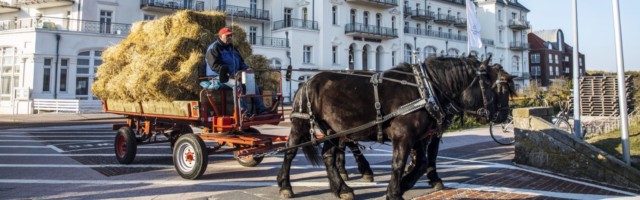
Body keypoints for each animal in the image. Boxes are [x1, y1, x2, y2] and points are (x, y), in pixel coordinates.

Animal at [278, 56, 516, 200]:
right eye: (498, 87)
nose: (505, 115)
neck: (426, 89)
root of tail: (306, 81)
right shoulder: (404, 136)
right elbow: (399, 163)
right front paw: (394, 191)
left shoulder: (421, 136)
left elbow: (422, 162)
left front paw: (406, 184)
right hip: (301, 124)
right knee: (290, 152)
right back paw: (285, 185)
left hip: (333, 130)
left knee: (329, 156)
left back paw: (341, 188)